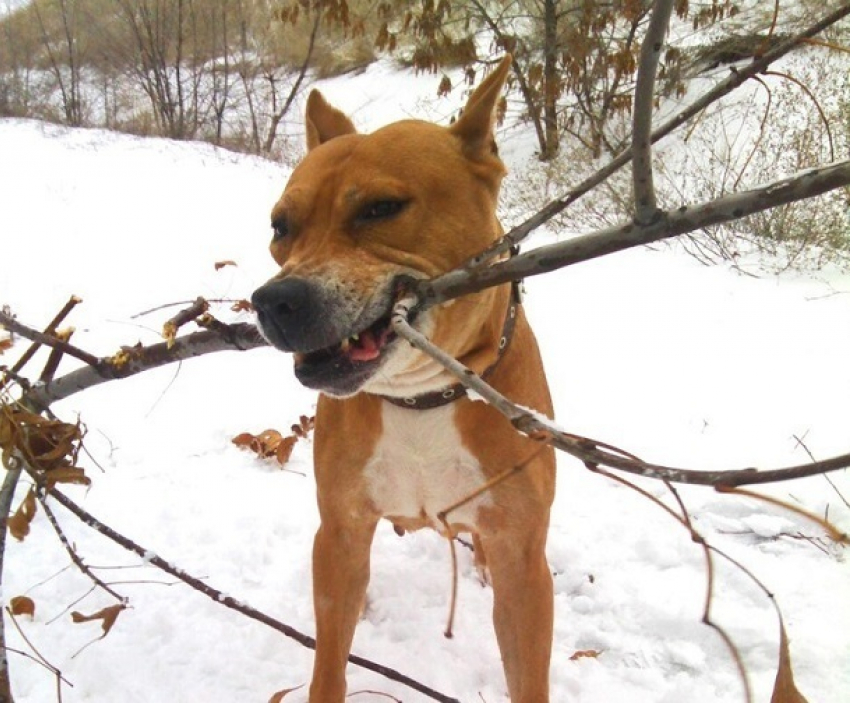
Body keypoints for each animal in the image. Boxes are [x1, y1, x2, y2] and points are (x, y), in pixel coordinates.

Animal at [252, 57, 556, 700]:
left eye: (380, 208)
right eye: (279, 225)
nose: (275, 301)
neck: (421, 398)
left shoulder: (524, 561)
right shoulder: (340, 531)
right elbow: (329, 657)